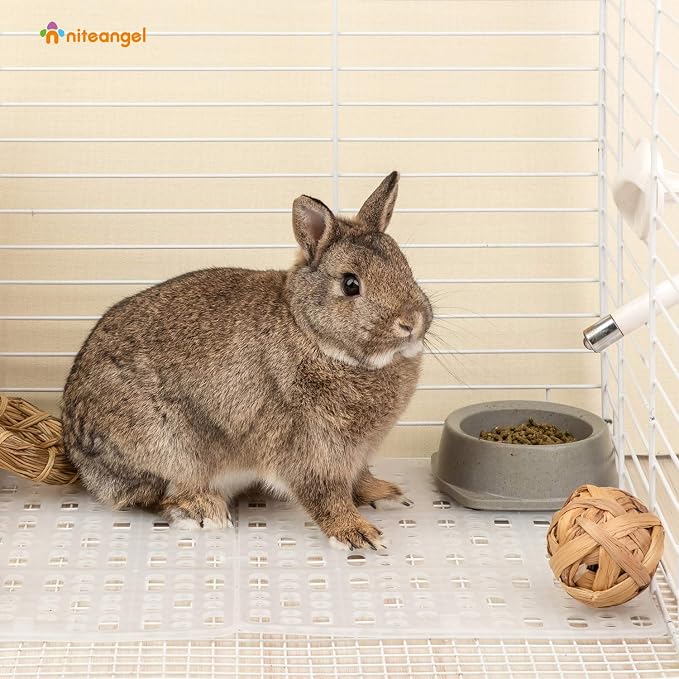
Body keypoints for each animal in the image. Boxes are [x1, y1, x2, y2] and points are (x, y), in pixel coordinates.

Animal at [61, 171, 433, 550]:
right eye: (350, 284)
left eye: (406, 267)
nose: (411, 321)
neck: (312, 334)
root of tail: (78, 455)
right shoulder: (307, 447)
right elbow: (324, 494)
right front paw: (357, 534)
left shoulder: (355, 455)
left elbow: (358, 478)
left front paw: (385, 495)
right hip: (169, 448)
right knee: (156, 495)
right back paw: (204, 511)